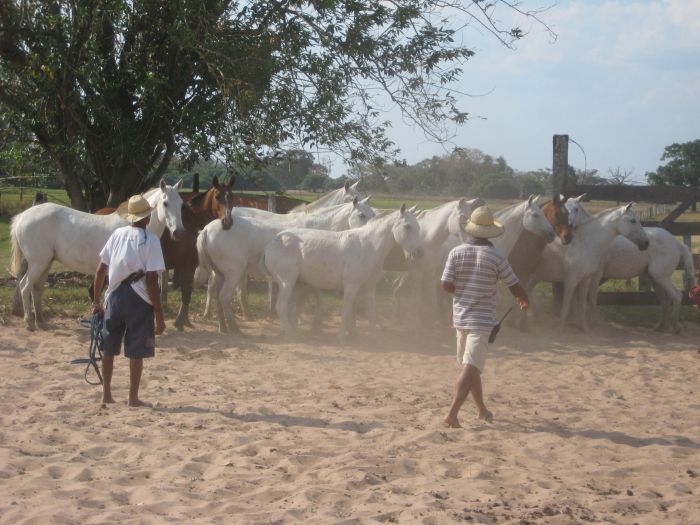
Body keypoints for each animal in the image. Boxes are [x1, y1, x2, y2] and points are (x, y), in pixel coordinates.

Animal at [10, 179, 186, 328]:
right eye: (165, 203)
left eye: (181, 204)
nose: (178, 232)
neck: (134, 227)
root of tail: (22, 217)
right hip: (38, 263)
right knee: (25, 287)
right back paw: (29, 323)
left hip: (45, 263)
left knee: (36, 289)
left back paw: (41, 322)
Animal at [508, 194, 576, 330]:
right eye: (557, 214)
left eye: (567, 213)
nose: (568, 237)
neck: (525, 242)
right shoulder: (519, 272)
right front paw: (515, 323)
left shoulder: (525, 273)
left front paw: (520, 323)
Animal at [568, 196, 696, 332]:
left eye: (576, 209)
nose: (567, 225)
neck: (593, 239)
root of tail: (677, 243)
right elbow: (576, 298)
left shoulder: (596, 275)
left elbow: (591, 298)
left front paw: (592, 322)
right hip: (655, 279)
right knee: (665, 301)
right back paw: (660, 327)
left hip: (662, 277)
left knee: (676, 296)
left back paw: (676, 327)